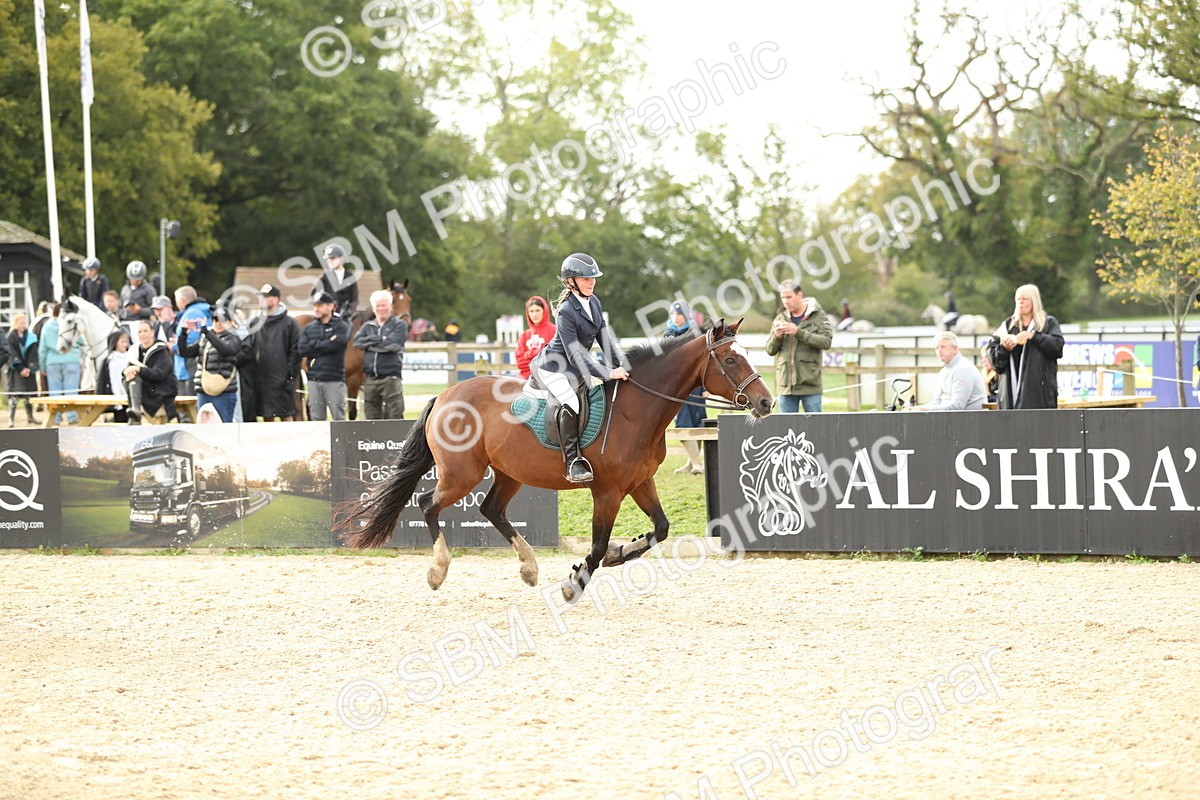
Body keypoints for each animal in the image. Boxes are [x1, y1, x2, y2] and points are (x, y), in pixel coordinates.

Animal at [294, 279, 411, 420]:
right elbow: (352, 412)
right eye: (393, 301)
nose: (406, 324)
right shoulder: (352, 379)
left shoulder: (366, 381)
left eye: (409, 300)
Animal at [340, 319, 774, 601]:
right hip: (462, 474)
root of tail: (445, 395)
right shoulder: (608, 491)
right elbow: (596, 545)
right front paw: (575, 582)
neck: (637, 409)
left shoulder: (640, 483)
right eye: (731, 361)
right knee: (427, 503)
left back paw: (528, 567)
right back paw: (438, 570)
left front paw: (620, 553)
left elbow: (661, 529)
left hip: (508, 474)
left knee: (490, 509)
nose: (766, 403)